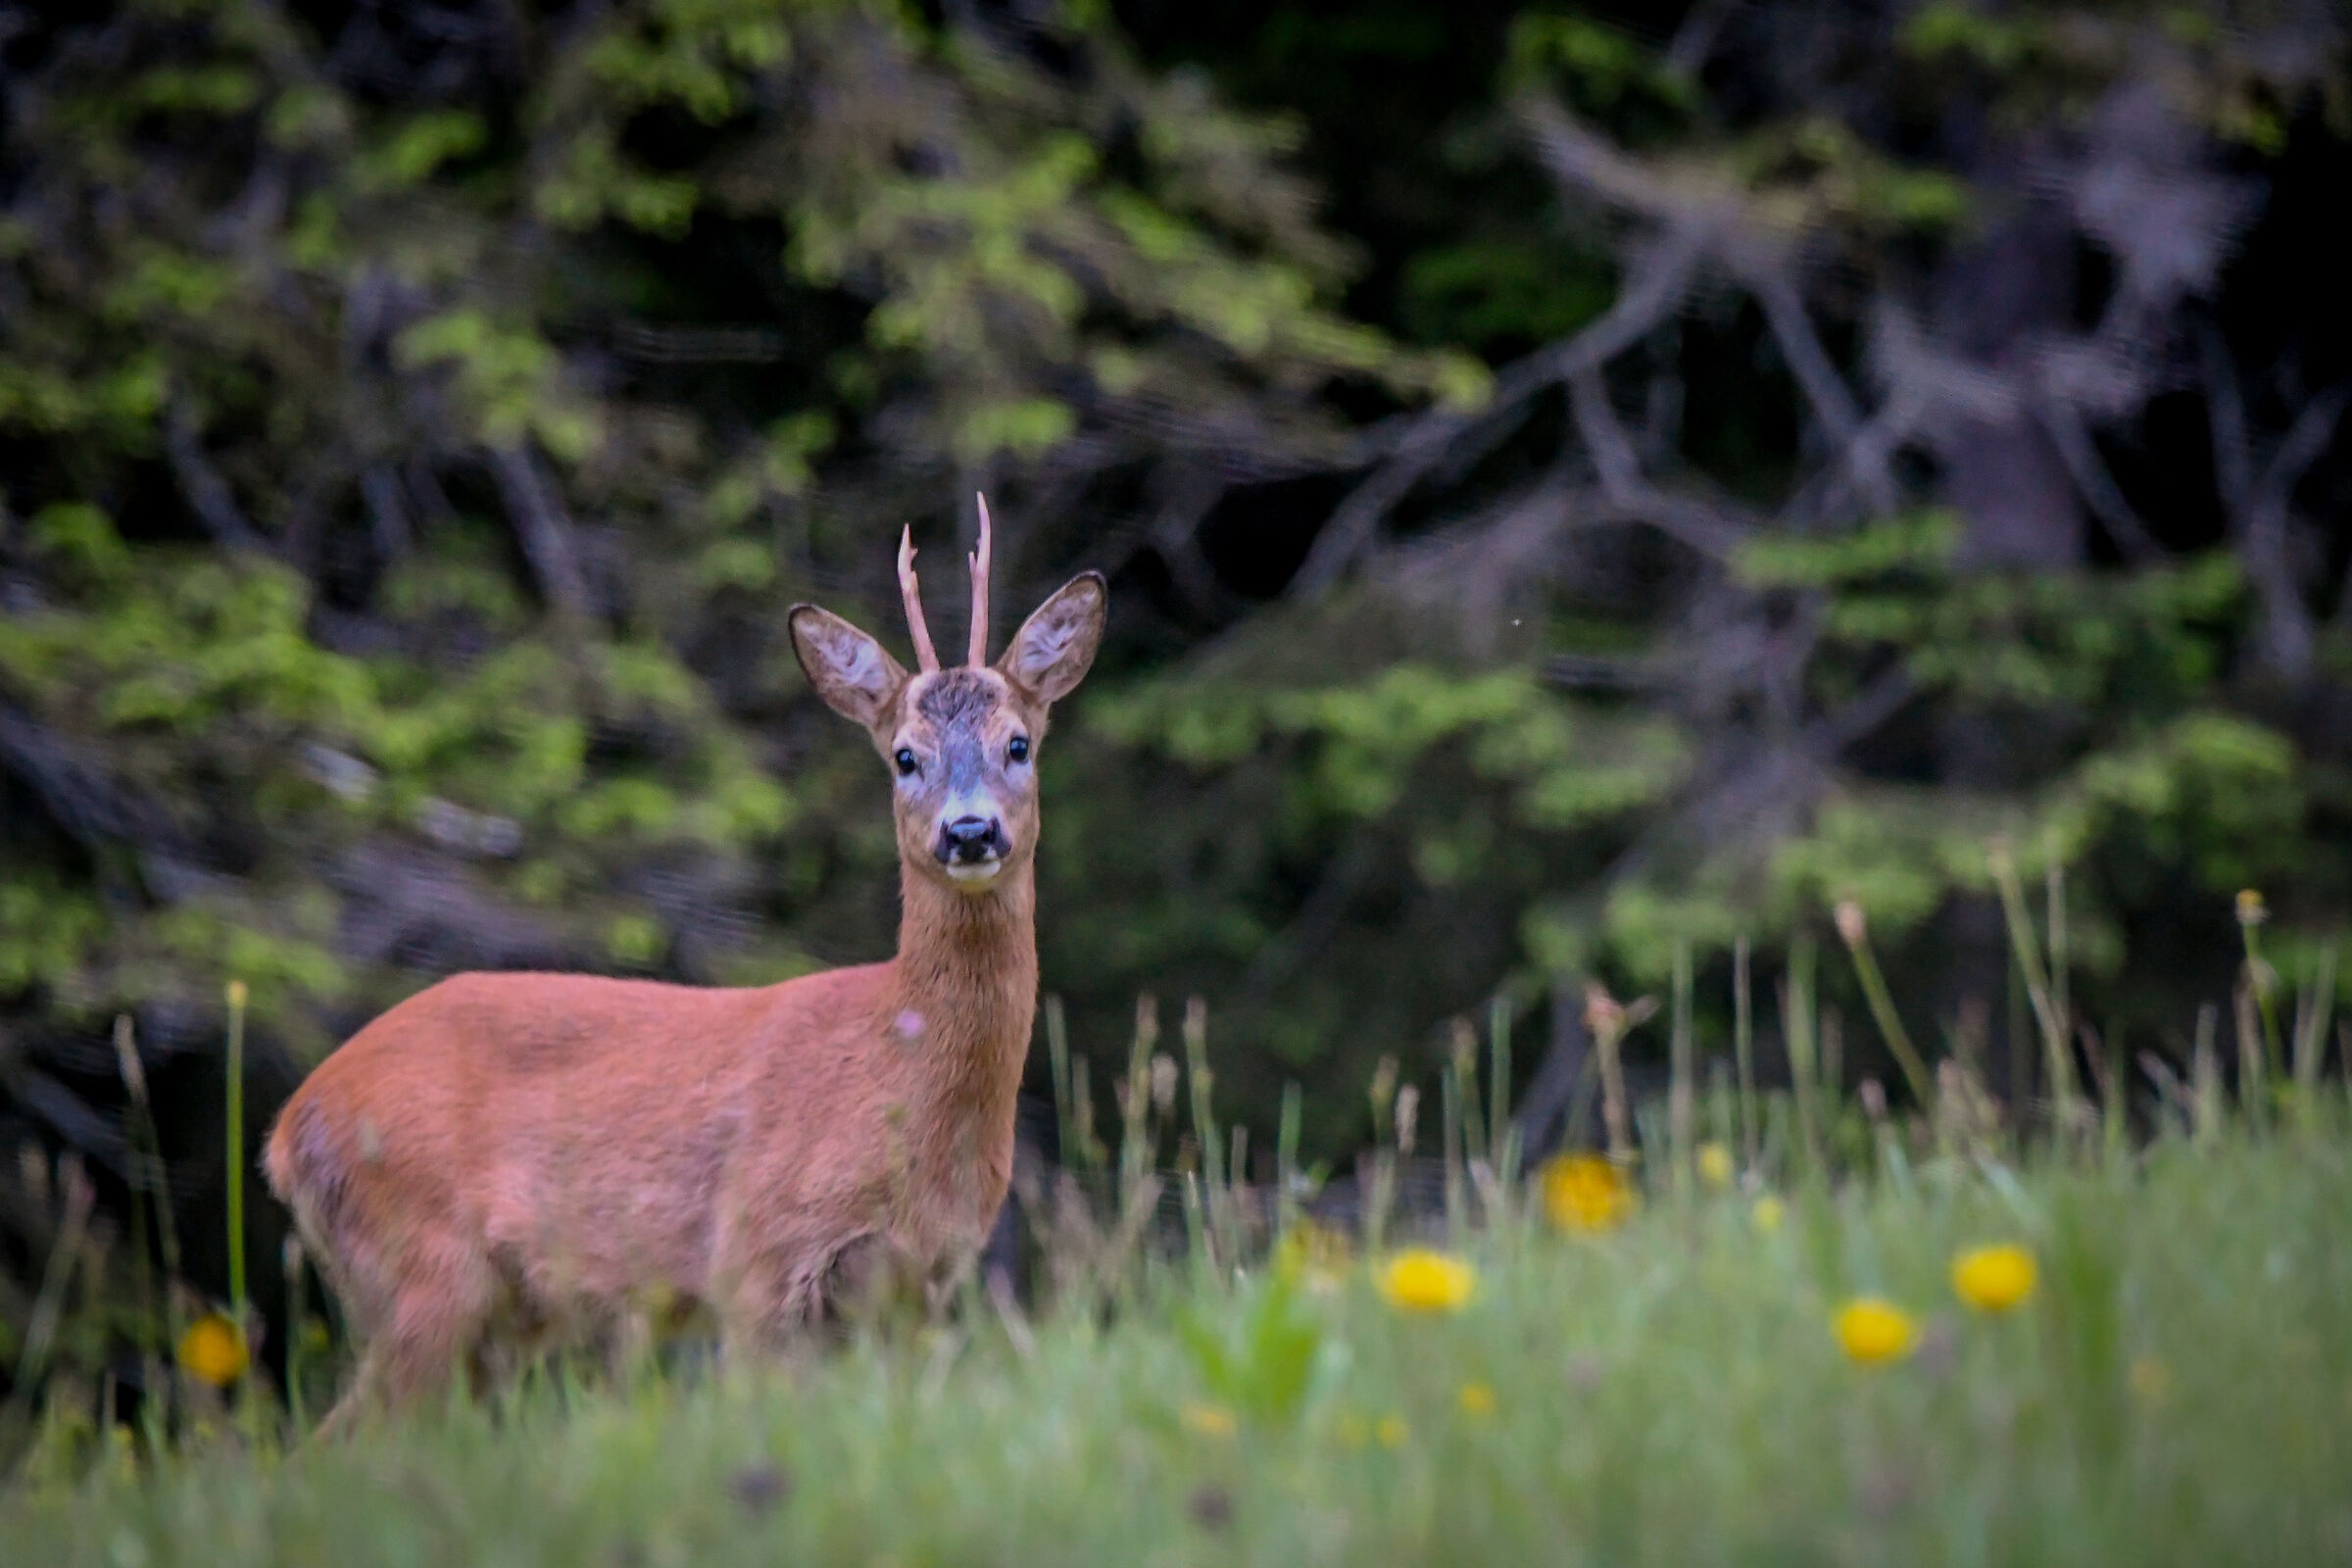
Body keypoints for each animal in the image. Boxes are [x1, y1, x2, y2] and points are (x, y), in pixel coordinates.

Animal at [264, 497, 1105, 1432]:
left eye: (1019, 744)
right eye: (904, 756)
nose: (968, 831)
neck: (897, 1071)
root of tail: (286, 1131)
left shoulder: (919, 1286)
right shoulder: (756, 1259)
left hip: (494, 1316)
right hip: (419, 1265)